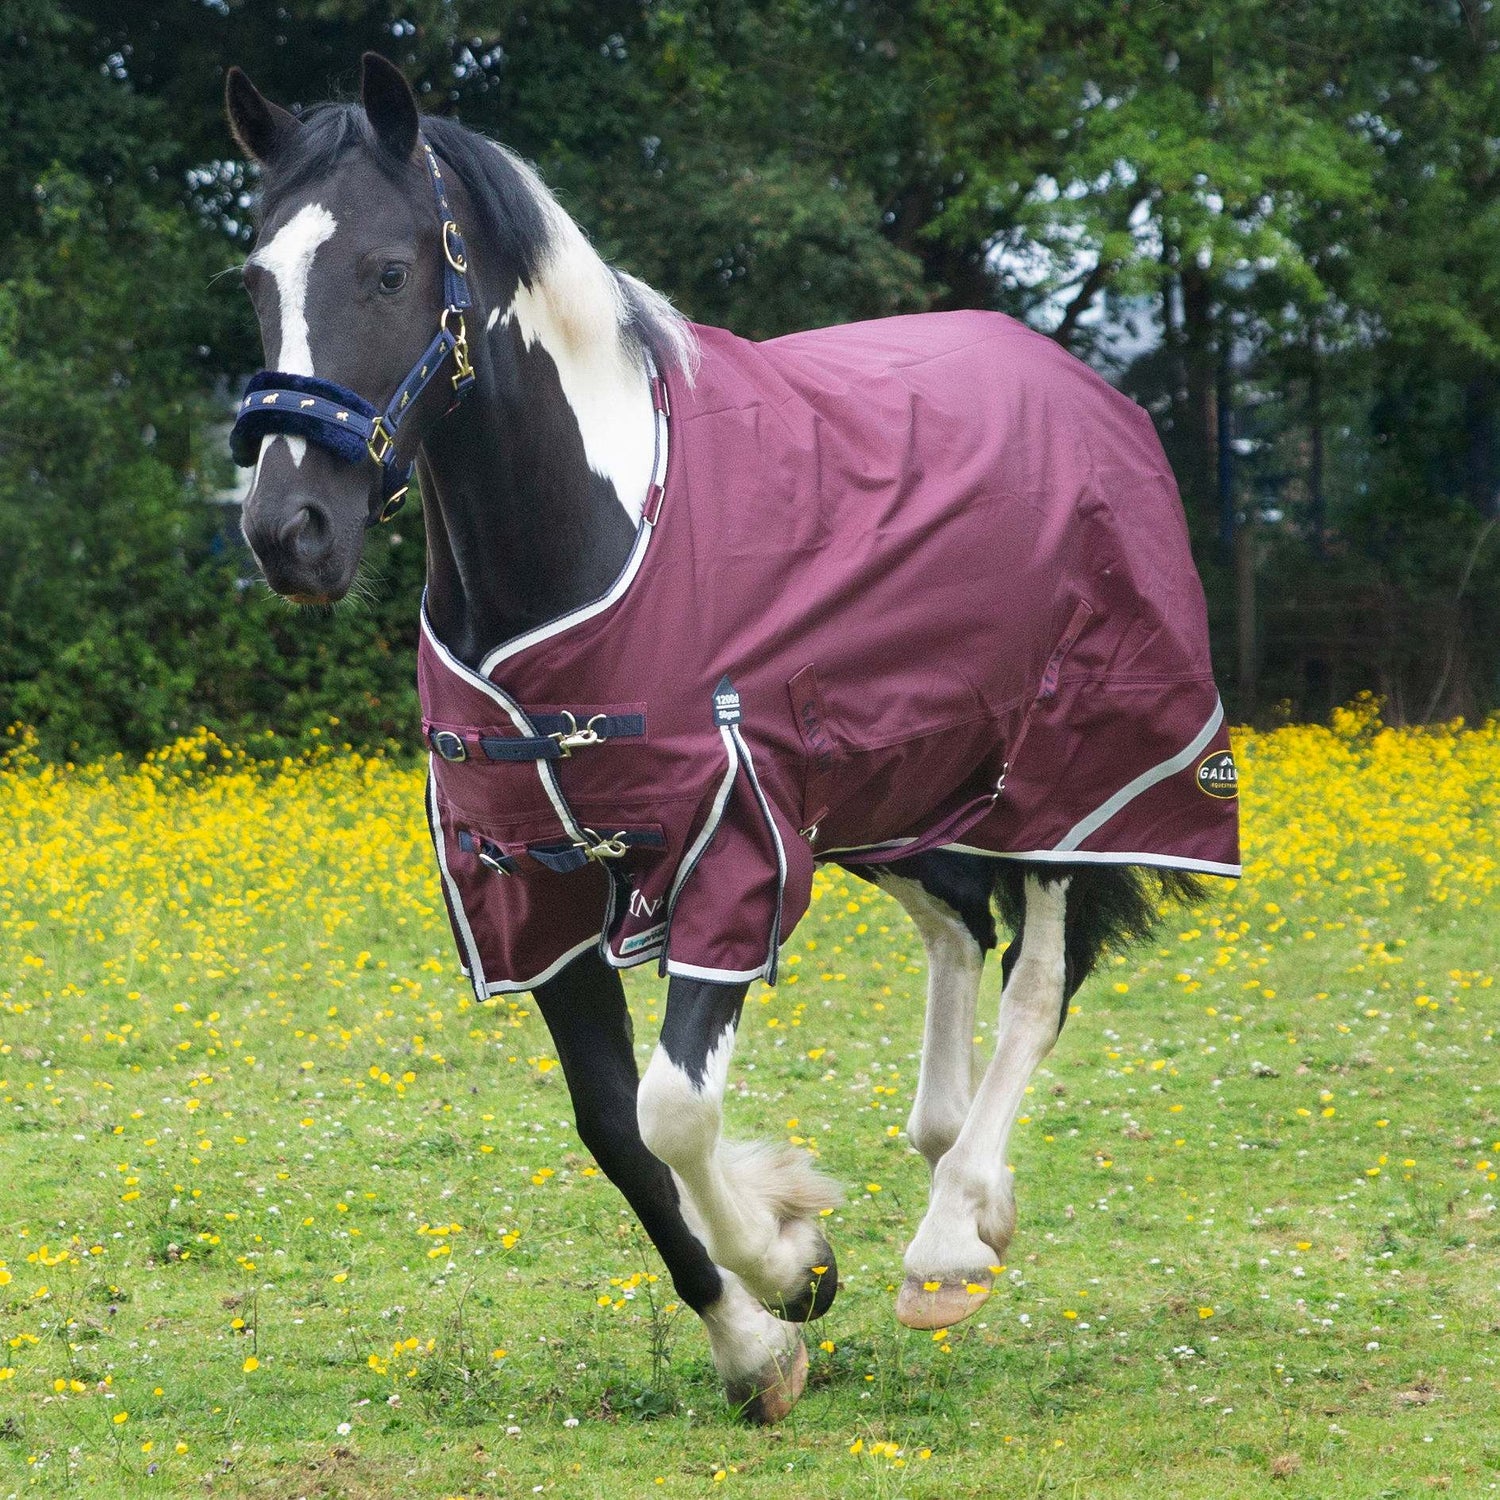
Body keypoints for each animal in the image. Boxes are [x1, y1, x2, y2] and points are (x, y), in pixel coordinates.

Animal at [225, 53, 1241, 1423]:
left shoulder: (732, 850)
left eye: (387, 272)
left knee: (1037, 977)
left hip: (1073, 777)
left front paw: (792, 1263)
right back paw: (955, 1170)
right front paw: (756, 1342)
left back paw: (950, 1240)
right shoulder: (532, 887)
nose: (290, 532)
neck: (587, 548)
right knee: (957, 929)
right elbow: (614, 1128)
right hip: (892, 788)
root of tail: (1087, 391)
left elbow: (671, 1110)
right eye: (256, 277)